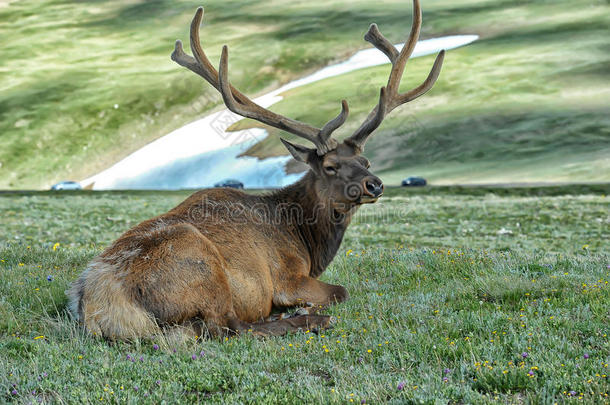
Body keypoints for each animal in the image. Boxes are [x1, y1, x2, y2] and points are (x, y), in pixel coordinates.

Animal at [67, 0, 442, 340]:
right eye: (331, 166)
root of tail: (103, 307)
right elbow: (340, 291)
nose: (374, 185)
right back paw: (309, 319)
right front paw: (304, 307)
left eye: (366, 162)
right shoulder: (288, 276)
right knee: (227, 328)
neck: (305, 239)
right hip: (202, 266)